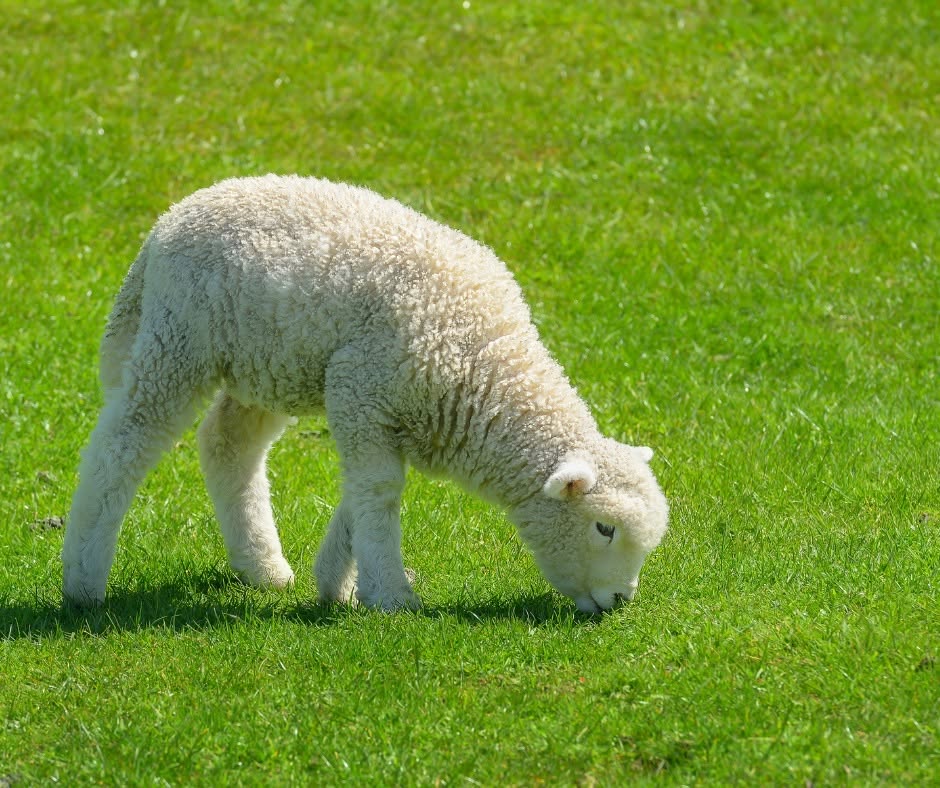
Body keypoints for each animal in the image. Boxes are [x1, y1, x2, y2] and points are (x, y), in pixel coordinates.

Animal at [62, 175, 669, 613]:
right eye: (604, 527)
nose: (621, 600)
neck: (484, 368)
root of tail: (170, 219)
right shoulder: (361, 389)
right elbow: (379, 491)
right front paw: (389, 595)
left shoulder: (384, 411)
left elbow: (363, 491)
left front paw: (336, 584)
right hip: (180, 341)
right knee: (121, 448)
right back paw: (83, 581)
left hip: (266, 363)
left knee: (227, 444)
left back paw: (262, 568)